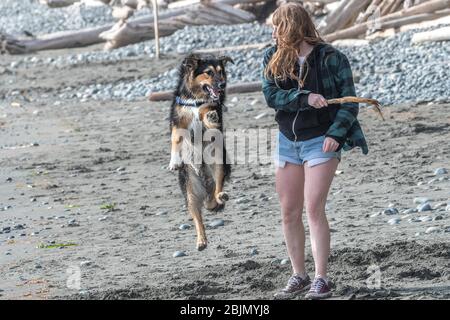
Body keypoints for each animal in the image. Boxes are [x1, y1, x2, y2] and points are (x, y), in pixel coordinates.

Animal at [168, 52, 232, 251]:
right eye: (208, 72)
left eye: (221, 71)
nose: (222, 85)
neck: (196, 99)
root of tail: (205, 178)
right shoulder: (178, 119)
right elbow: (175, 137)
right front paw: (174, 161)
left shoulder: (212, 110)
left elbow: (209, 116)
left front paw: (210, 116)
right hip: (190, 188)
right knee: (197, 215)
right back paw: (201, 240)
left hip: (218, 164)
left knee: (216, 192)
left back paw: (220, 196)